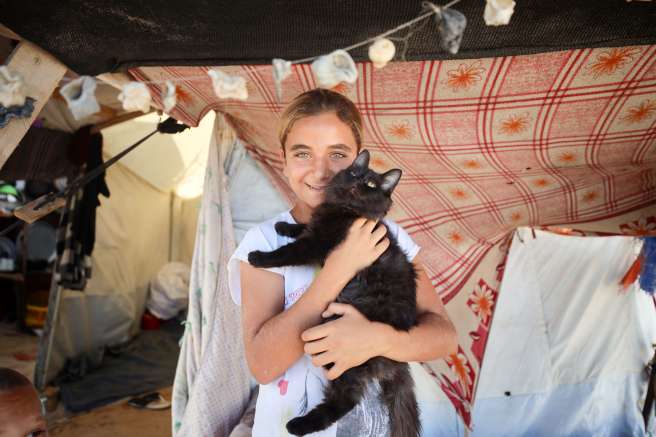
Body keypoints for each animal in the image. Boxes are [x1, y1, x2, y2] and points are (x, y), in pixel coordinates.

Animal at [246, 150, 420, 436]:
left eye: (371, 184)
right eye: (353, 173)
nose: (357, 182)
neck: (345, 209)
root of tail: (396, 362)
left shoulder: (317, 243)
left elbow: (287, 252)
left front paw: (259, 257)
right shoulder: (317, 228)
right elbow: (304, 225)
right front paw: (284, 225)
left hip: (344, 357)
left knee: (346, 400)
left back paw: (298, 425)